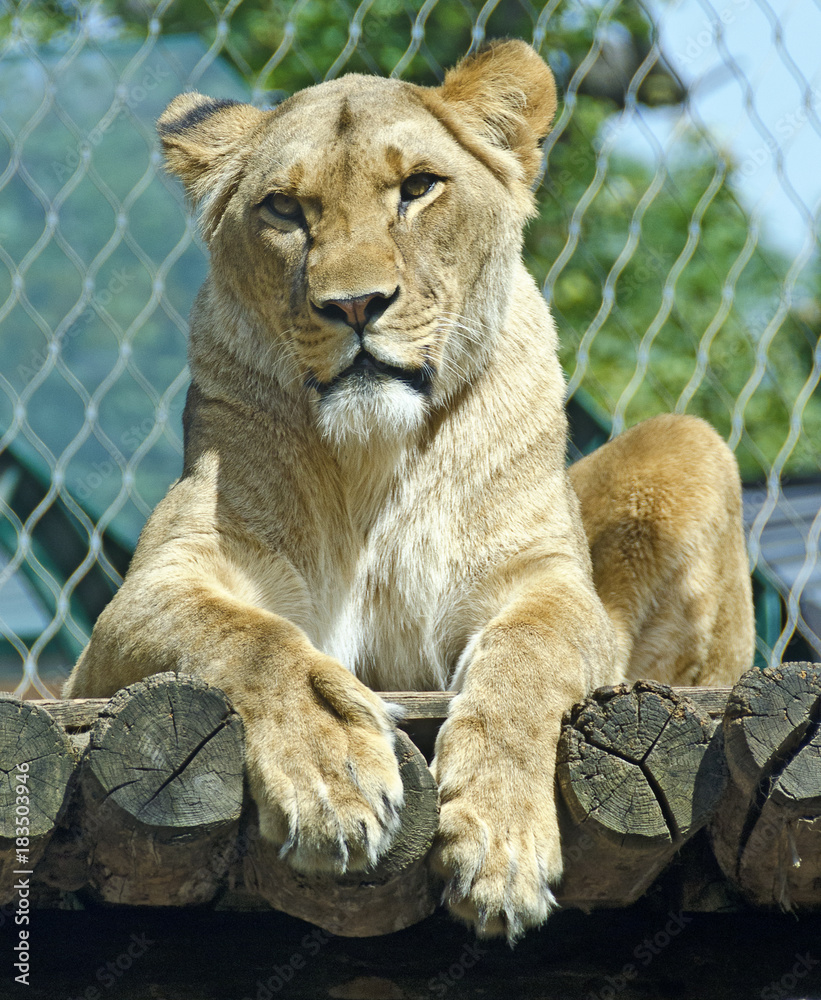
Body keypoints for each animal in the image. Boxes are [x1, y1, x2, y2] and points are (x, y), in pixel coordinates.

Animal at [65, 39, 754, 940]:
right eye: (284, 208)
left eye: (418, 187)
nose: (356, 305)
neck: (375, 462)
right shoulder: (145, 599)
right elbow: (250, 638)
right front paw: (333, 775)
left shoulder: (546, 583)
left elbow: (525, 658)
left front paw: (497, 843)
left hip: (689, 444)